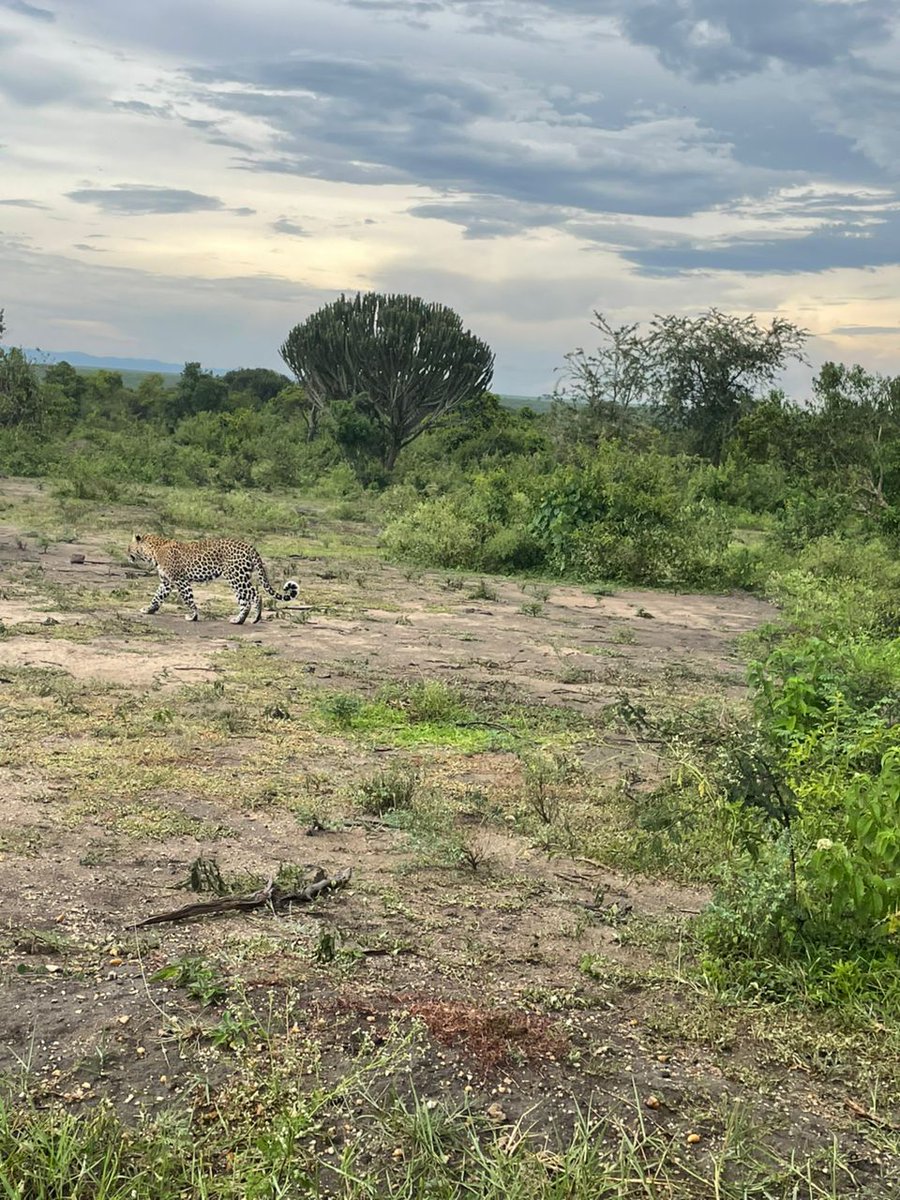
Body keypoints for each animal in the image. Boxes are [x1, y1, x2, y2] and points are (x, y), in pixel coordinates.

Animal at [128, 533, 299, 625]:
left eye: (129, 548)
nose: (127, 554)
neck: (153, 551)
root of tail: (250, 546)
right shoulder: (167, 582)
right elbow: (157, 596)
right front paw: (149, 609)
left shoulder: (181, 580)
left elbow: (188, 599)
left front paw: (193, 616)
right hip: (238, 578)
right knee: (245, 601)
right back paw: (238, 620)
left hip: (236, 577)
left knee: (256, 595)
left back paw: (255, 618)